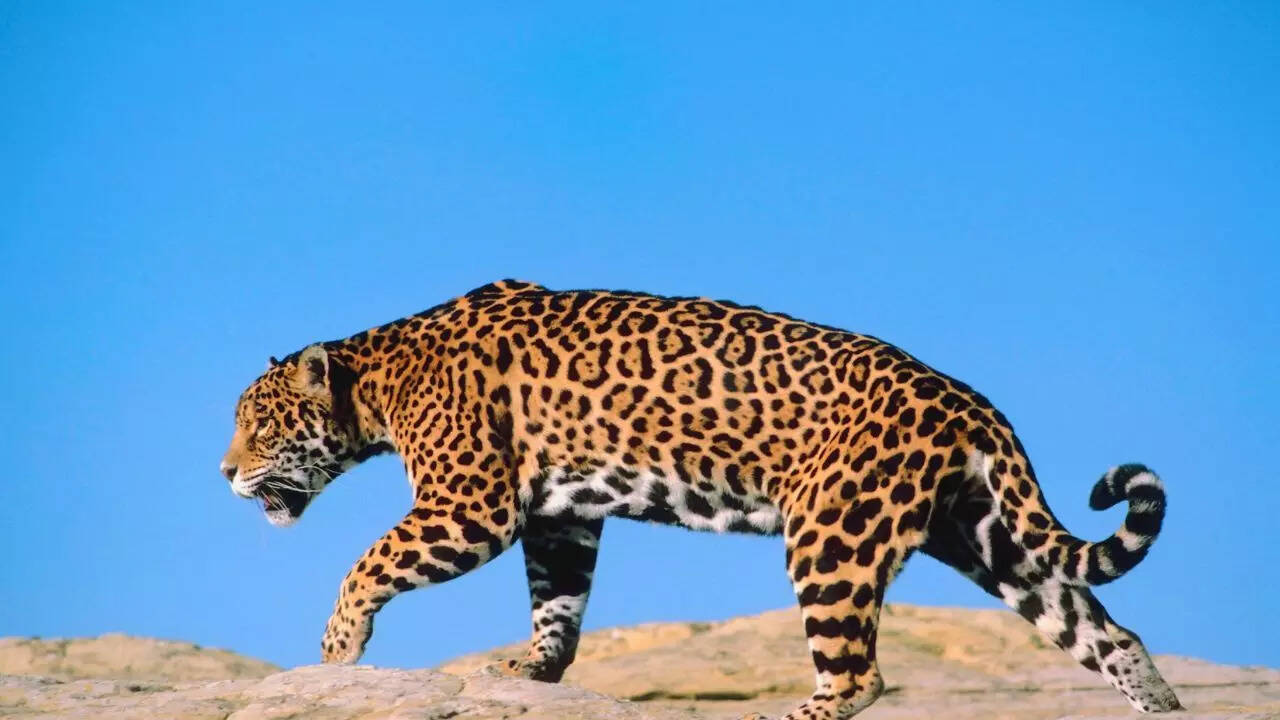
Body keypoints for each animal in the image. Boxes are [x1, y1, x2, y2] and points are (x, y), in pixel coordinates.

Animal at [219, 279, 1181, 719]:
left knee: (858, 672)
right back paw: (1163, 705)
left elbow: (366, 563)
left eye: (259, 428)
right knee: (1110, 634)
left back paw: (794, 712)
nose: (224, 473)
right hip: (988, 537)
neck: (377, 381)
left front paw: (338, 650)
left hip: (833, 534)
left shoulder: (470, 506)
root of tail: (967, 400)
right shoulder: (561, 515)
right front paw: (534, 672)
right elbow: (558, 604)